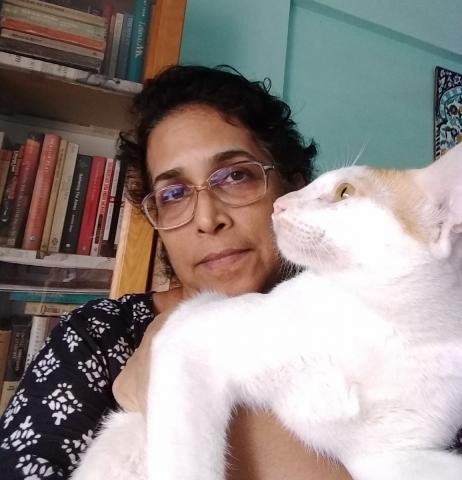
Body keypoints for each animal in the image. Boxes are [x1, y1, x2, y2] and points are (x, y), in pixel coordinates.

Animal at [71, 143, 462, 480]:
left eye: (345, 191)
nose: (280, 203)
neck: (387, 328)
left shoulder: (385, 457)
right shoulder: (192, 335)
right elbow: (186, 464)